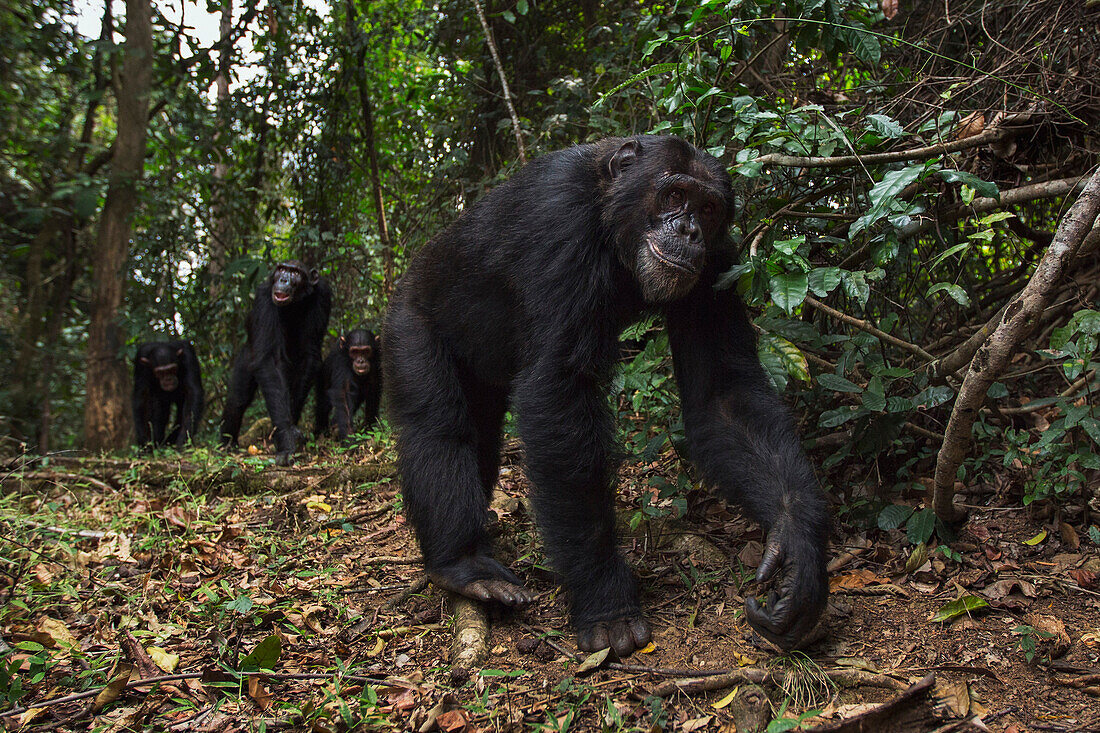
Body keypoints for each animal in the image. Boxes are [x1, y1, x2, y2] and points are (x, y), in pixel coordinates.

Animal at [218, 258, 330, 462]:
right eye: (281, 269)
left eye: (295, 273)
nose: (284, 279)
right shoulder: (263, 297)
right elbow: (270, 362)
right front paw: (286, 437)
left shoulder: (324, 295)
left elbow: (309, 354)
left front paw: (290, 430)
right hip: (247, 354)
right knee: (237, 400)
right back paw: (227, 444)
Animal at [382, 134, 827, 651]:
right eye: (675, 196)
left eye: (709, 208)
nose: (690, 230)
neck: (613, 223)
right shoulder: (561, 224)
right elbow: (560, 394)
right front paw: (607, 604)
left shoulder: (719, 262)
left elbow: (723, 395)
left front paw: (797, 552)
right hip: (407, 325)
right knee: (438, 429)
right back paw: (463, 564)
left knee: (482, 441)